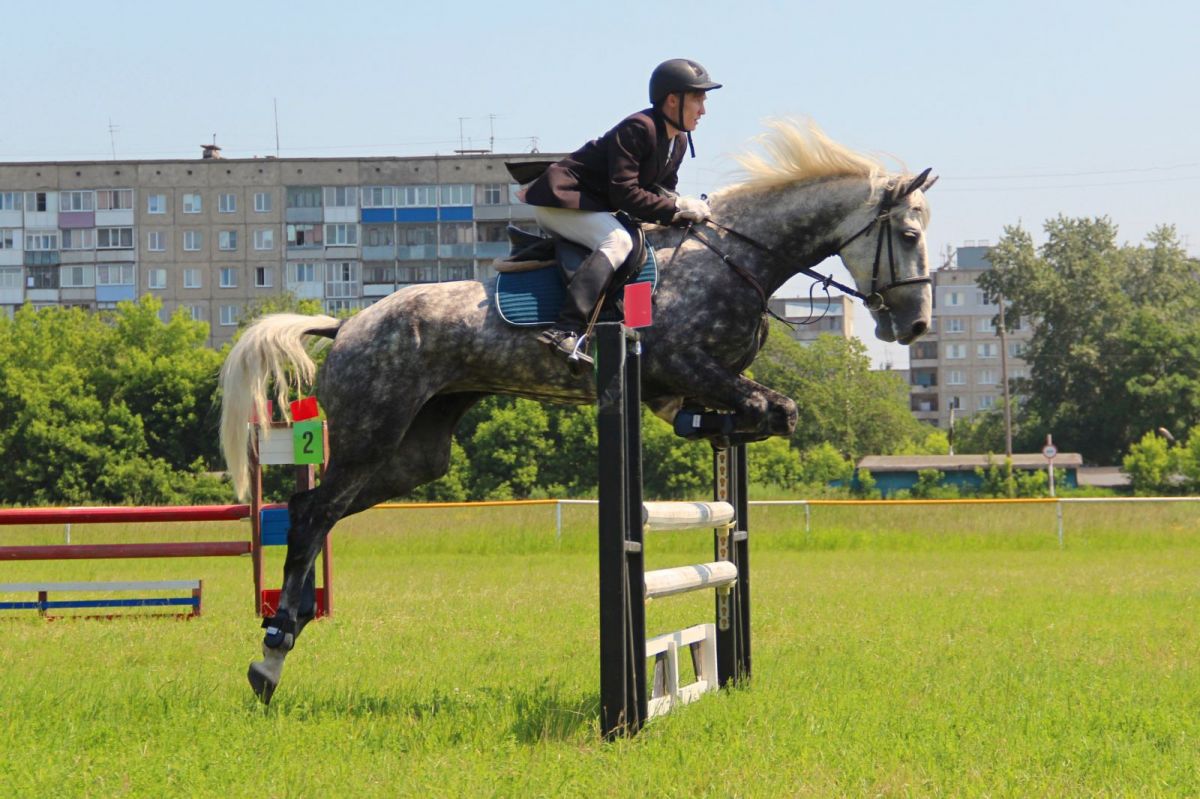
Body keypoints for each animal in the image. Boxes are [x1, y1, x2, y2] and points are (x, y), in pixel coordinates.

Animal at [223, 121, 936, 700]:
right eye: (907, 234)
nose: (916, 324)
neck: (736, 257)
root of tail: (346, 324)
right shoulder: (685, 367)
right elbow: (773, 407)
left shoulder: (691, 386)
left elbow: (761, 415)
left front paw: (717, 434)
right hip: (372, 431)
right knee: (313, 514)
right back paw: (269, 655)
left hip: (416, 454)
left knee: (323, 511)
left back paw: (285, 636)